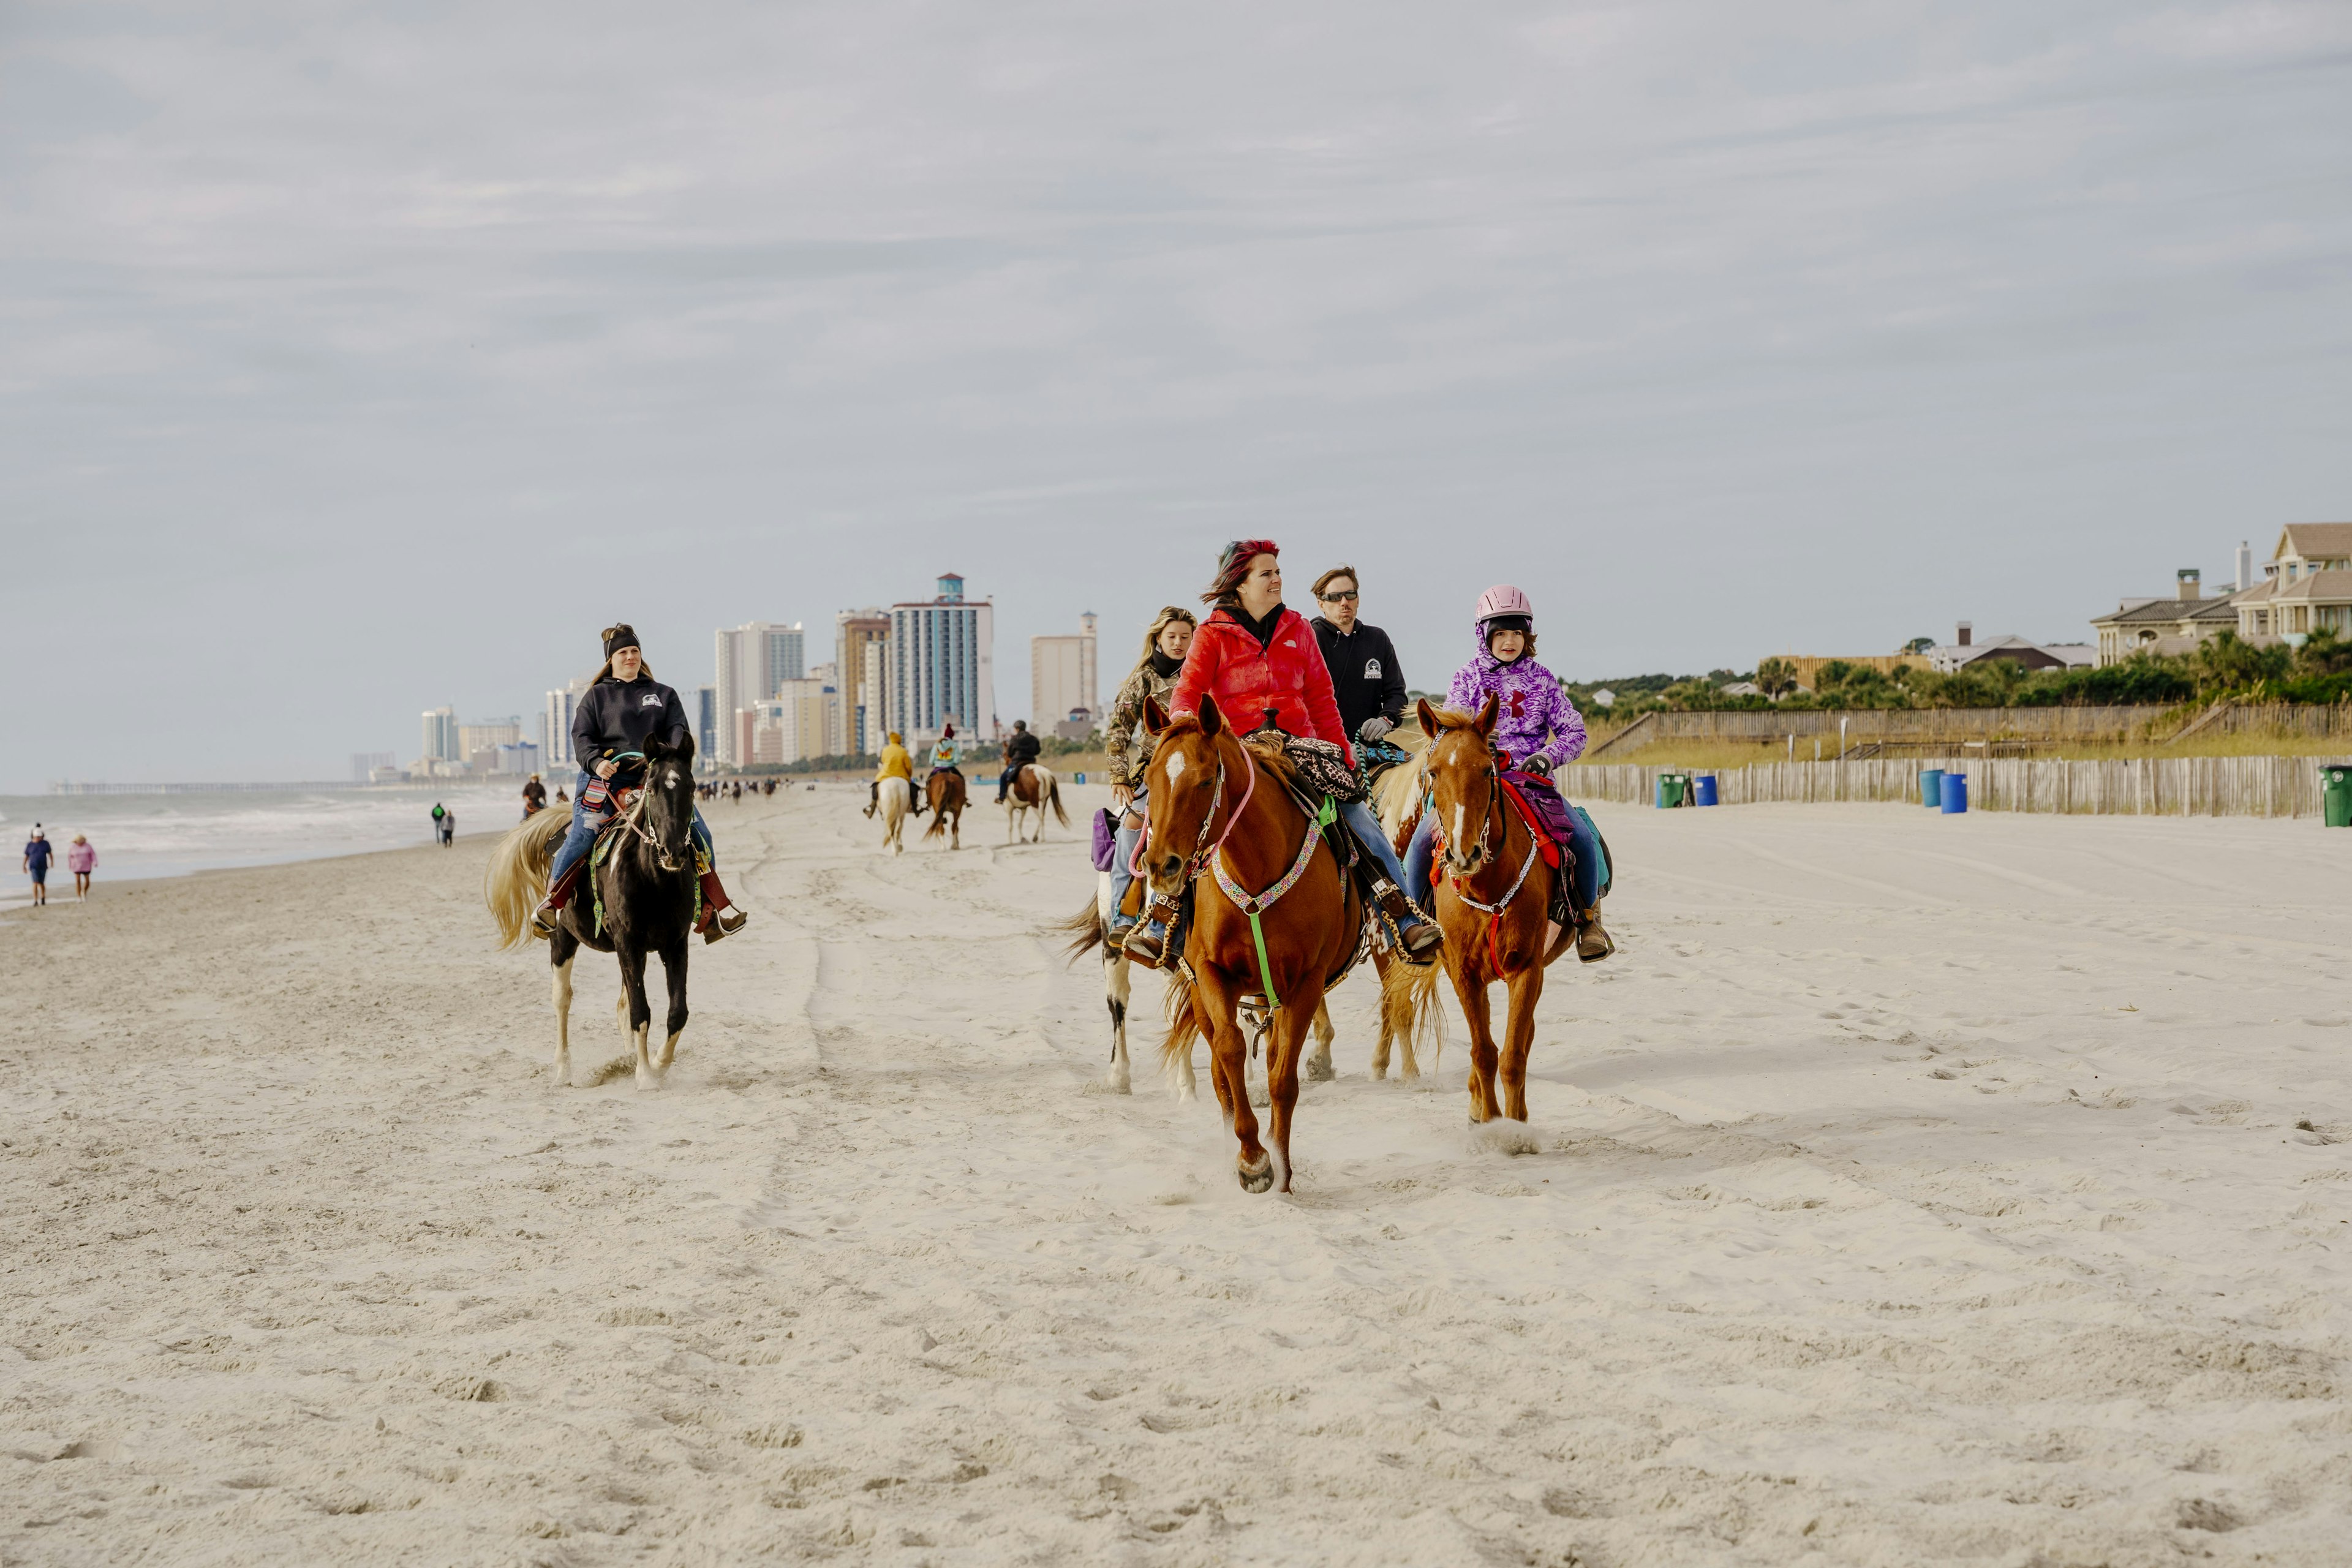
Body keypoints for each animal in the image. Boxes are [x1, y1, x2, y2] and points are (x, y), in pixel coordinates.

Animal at [477, 738, 696, 1090]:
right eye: (651, 789)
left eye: (691, 787)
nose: (672, 852)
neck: (653, 880)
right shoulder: (628, 942)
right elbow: (640, 1011)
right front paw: (646, 1076)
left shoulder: (675, 944)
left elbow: (677, 1012)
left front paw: (658, 1065)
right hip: (562, 941)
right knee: (562, 1000)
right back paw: (563, 1071)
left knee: (622, 1004)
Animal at [1138, 691, 1430, 1194]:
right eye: (1152, 779)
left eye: (1206, 780)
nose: (1163, 867)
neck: (1254, 867)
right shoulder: (1212, 975)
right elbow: (1231, 1052)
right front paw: (1252, 1160)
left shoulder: (1304, 983)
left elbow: (1281, 1075)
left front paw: (1279, 1164)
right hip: (1200, 991)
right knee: (1218, 1068)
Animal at [1411, 691, 1580, 1123]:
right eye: (1433, 772)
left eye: (1488, 770)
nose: (1463, 853)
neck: (1487, 891)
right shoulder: (1465, 974)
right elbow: (1484, 1053)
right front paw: (1490, 1121)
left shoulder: (1527, 969)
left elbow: (1513, 1056)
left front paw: (1516, 1126)